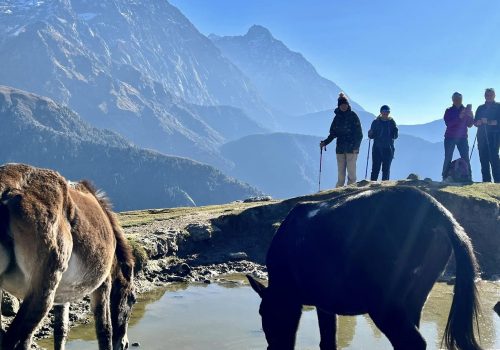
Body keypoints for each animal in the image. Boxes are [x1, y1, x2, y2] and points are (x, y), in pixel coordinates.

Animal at [248, 187, 482, 348]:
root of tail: (439, 215)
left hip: (385, 305)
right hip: (414, 299)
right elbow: (328, 342)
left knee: (412, 343)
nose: (273, 348)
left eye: (263, 312)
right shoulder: (325, 304)